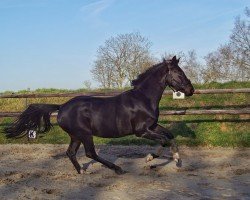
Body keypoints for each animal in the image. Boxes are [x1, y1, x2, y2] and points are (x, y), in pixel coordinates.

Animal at [4, 55, 195, 174]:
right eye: (179, 73)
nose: (190, 90)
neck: (143, 99)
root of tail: (62, 106)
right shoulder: (141, 131)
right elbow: (163, 140)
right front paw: (150, 158)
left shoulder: (152, 126)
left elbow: (170, 136)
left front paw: (177, 160)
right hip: (84, 134)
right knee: (90, 153)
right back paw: (117, 169)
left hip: (76, 136)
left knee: (70, 152)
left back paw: (82, 171)